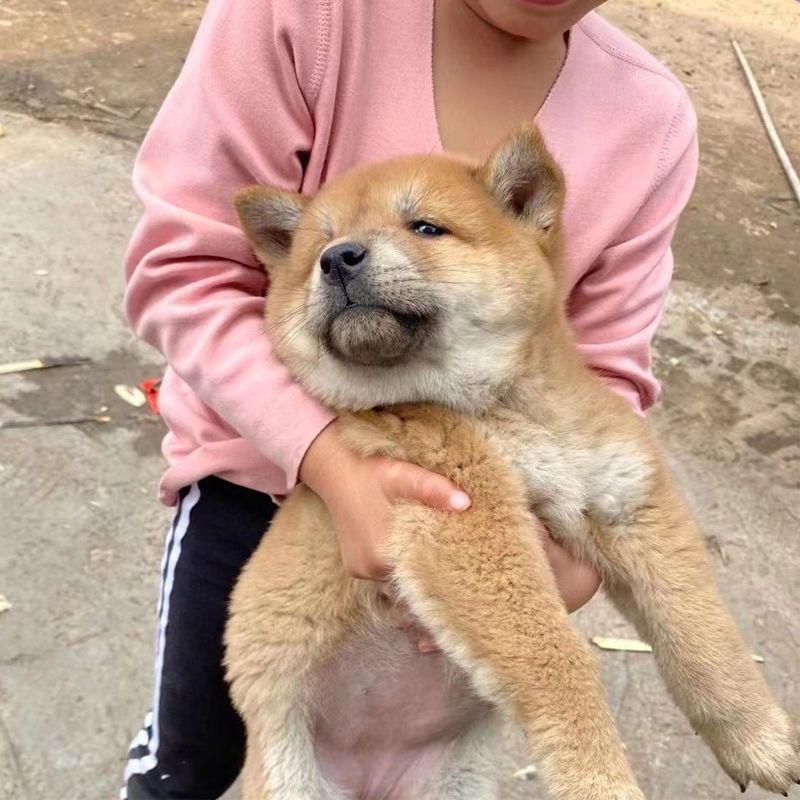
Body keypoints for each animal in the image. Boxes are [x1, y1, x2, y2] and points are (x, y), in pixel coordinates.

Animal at [227, 126, 800, 800]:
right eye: (320, 243)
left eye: (426, 227)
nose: (338, 257)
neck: (509, 410)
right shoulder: (467, 519)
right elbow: (558, 660)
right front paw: (599, 781)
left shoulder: (627, 500)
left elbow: (703, 634)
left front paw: (757, 737)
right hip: (291, 773)